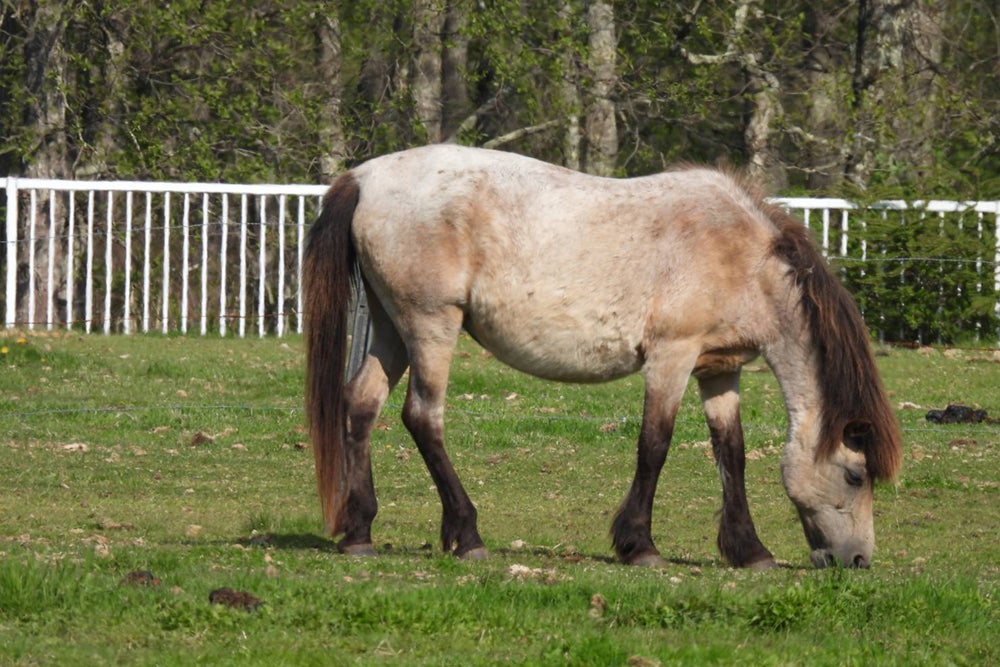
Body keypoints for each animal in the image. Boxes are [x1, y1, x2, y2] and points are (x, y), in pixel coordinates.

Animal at [302, 145, 902, 569]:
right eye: (855, 476)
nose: (857, 561)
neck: (741, 257)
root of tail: (364, 178)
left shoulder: (719, 367)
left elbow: (730, 452)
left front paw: (749, 551)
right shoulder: (672, 356)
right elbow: (654, 445)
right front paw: (640, 545)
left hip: (392, 328)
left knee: (362, 406)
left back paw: (359, 532)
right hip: (431, 325)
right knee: (423, 417)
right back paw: (467, 535)